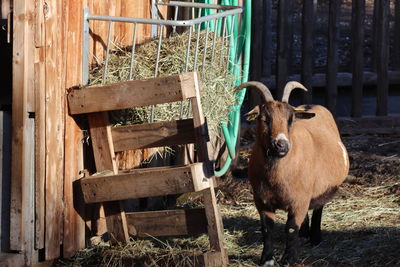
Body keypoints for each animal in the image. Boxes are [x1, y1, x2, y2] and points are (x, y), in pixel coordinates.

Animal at [239, 81, 348, 266]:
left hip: (319, 188)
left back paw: (315, 238)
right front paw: (267, 259)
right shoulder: (262, 200)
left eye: (290, 120)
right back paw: (304, 235)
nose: (281, 145)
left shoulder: (299, 200)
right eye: (264, 119)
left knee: (318, 207)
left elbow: (290, 229)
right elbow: (267, 229)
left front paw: (288, 259)